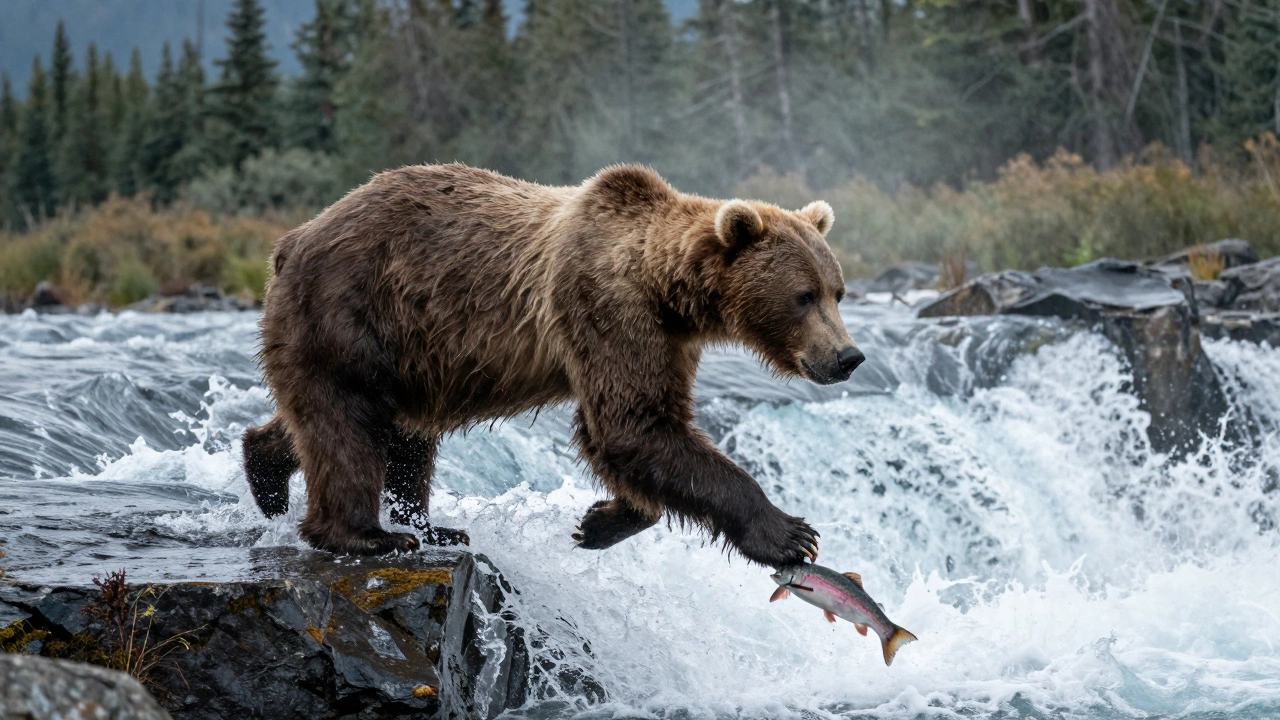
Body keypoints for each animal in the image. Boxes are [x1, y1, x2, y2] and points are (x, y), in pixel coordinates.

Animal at [242, 163, 864, 568]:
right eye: (804, 295)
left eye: (838, 291)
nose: (848, 357)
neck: (668, 290)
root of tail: (292, 239)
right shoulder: (603, 306)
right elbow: (633, 426)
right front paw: (790, 533)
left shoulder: (665, 340)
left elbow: (634, 429)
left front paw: (601, 520)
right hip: (350, 313)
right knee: (348, 422)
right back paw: (368, 536)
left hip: (411, 355)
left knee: (382, 431)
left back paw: (280, 476)